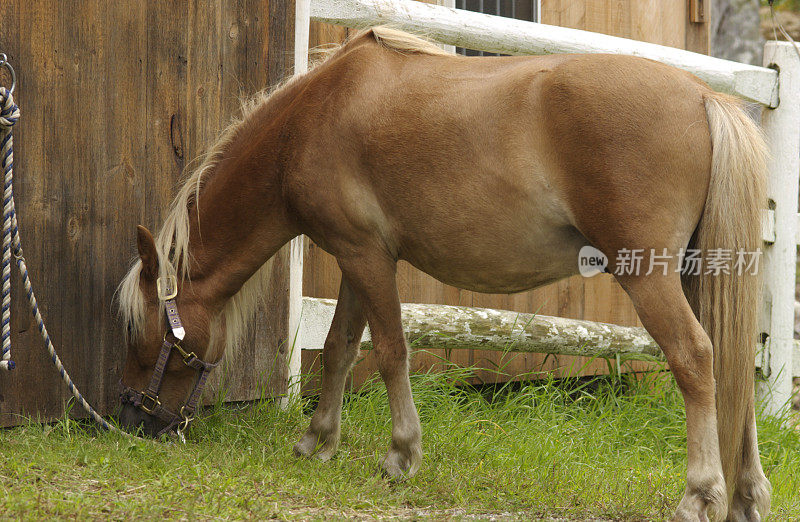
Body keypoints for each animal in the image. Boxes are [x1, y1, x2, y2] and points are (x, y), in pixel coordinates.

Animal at [117, 26, 768, 516]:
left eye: (138, 333)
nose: (130, 421)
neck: (310, 120)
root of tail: (704, 97)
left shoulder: (366, 256)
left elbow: (389, 350)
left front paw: (400, 455)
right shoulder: (358, 259)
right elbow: (339, 347)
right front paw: (317, 441)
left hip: (650, 277)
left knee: (695, 358)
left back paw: (700, 494)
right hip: (693, 273)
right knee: (732, 366)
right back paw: (745, 495)